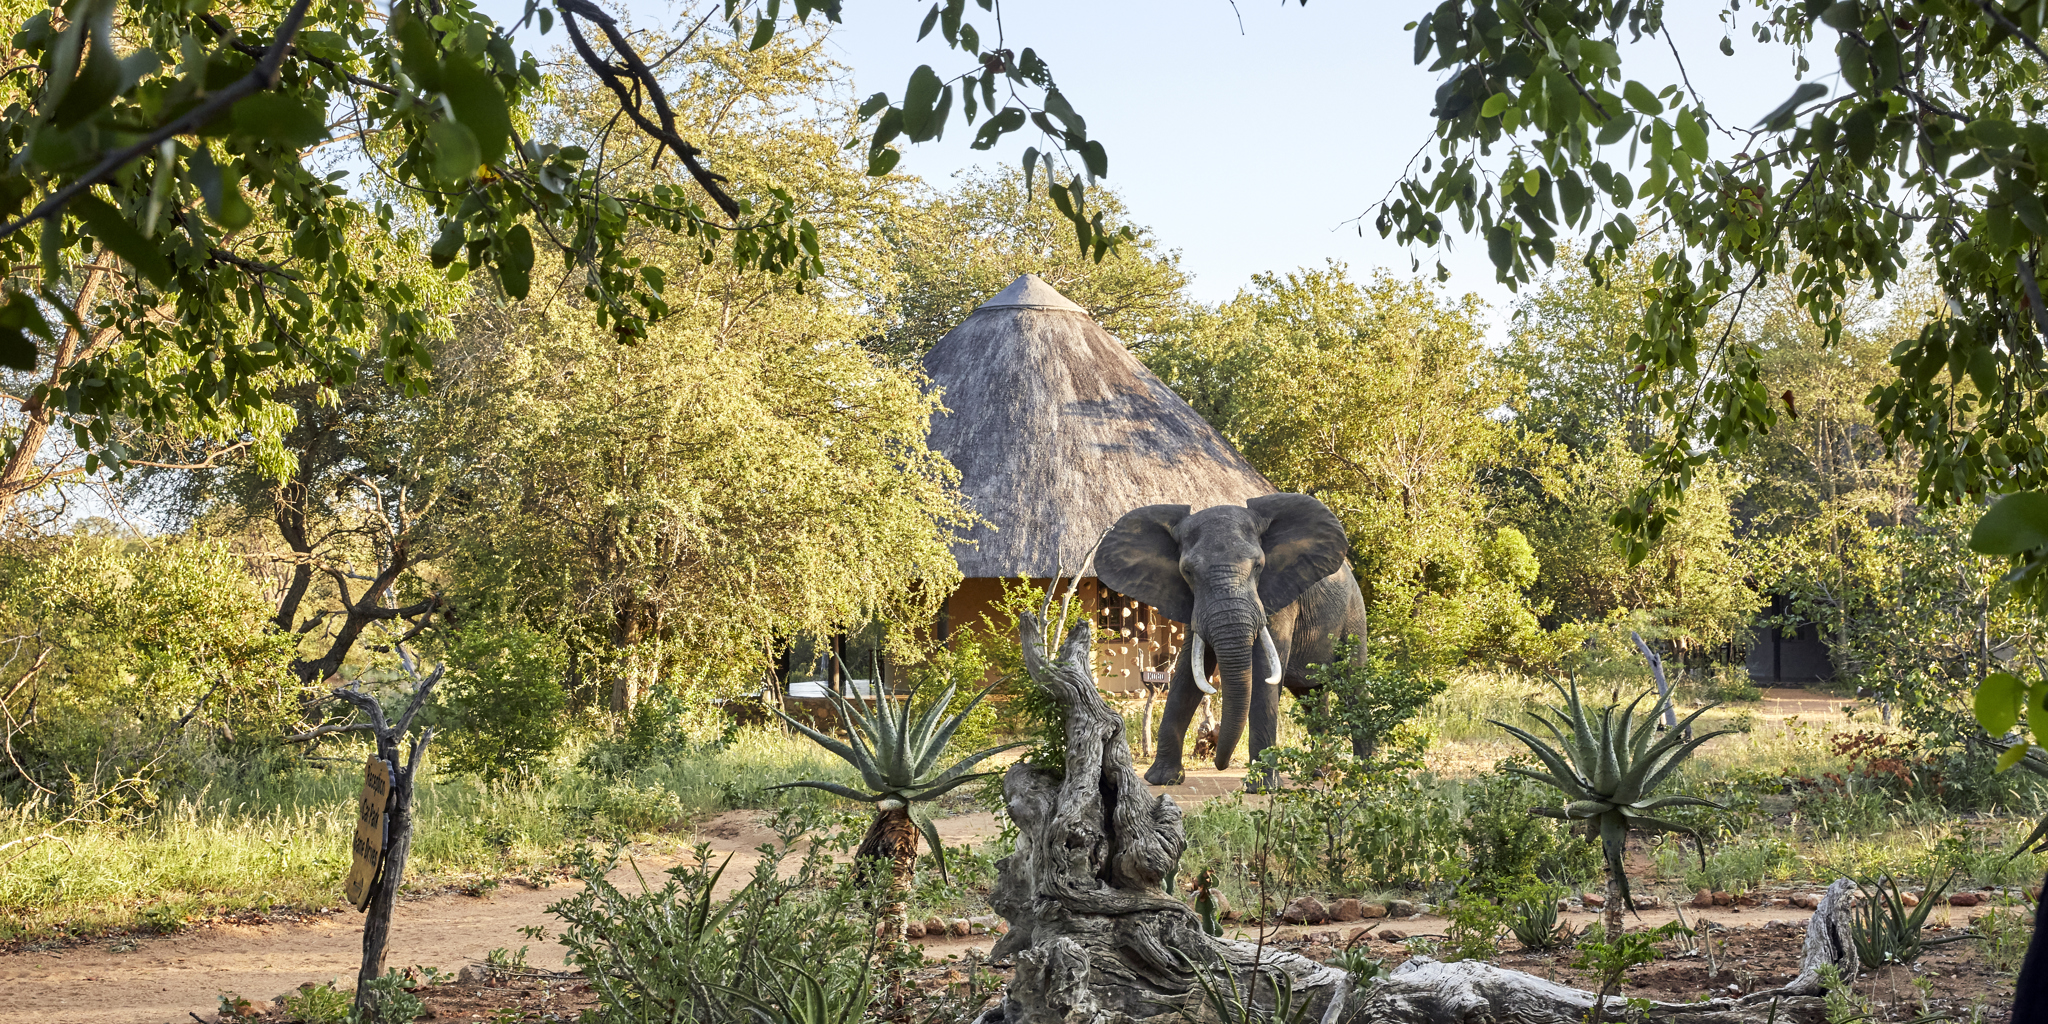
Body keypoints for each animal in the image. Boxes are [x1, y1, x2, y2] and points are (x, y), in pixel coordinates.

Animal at [1095, 493, 1370, 785]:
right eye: (1188, 572)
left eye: (1259, 566)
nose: (1219, 763)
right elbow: (1189, 673)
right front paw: (1162, 779)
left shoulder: (1278, 595)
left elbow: (1263, 674)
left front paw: (1262, 786)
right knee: (1311, 697)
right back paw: (1321, 773)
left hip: (1354, 615)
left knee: (1354, 688)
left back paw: (1366, 773)